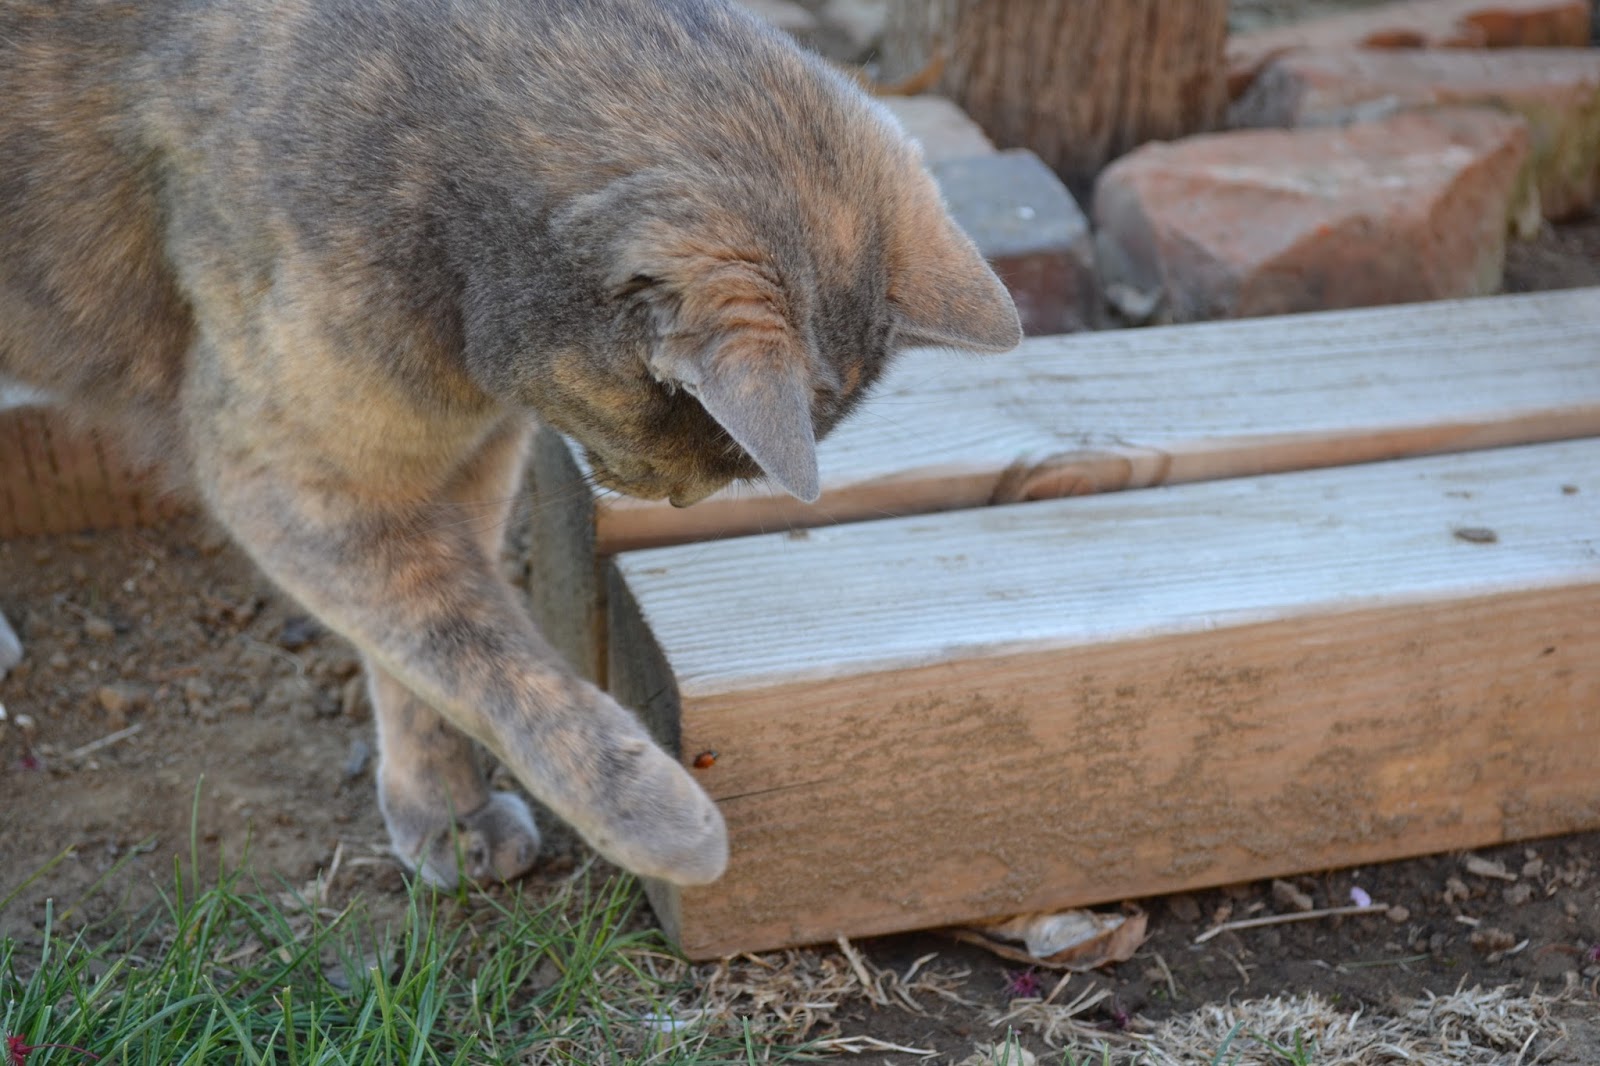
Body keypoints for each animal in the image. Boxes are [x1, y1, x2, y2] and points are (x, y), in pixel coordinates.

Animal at [0, 0, 1020, 888]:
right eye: (689, 427)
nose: (679, 499)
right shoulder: (290, 473)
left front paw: (445, 813)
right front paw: (656, 819)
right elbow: (469, 641)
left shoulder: (474, 459)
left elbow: (423, 648)